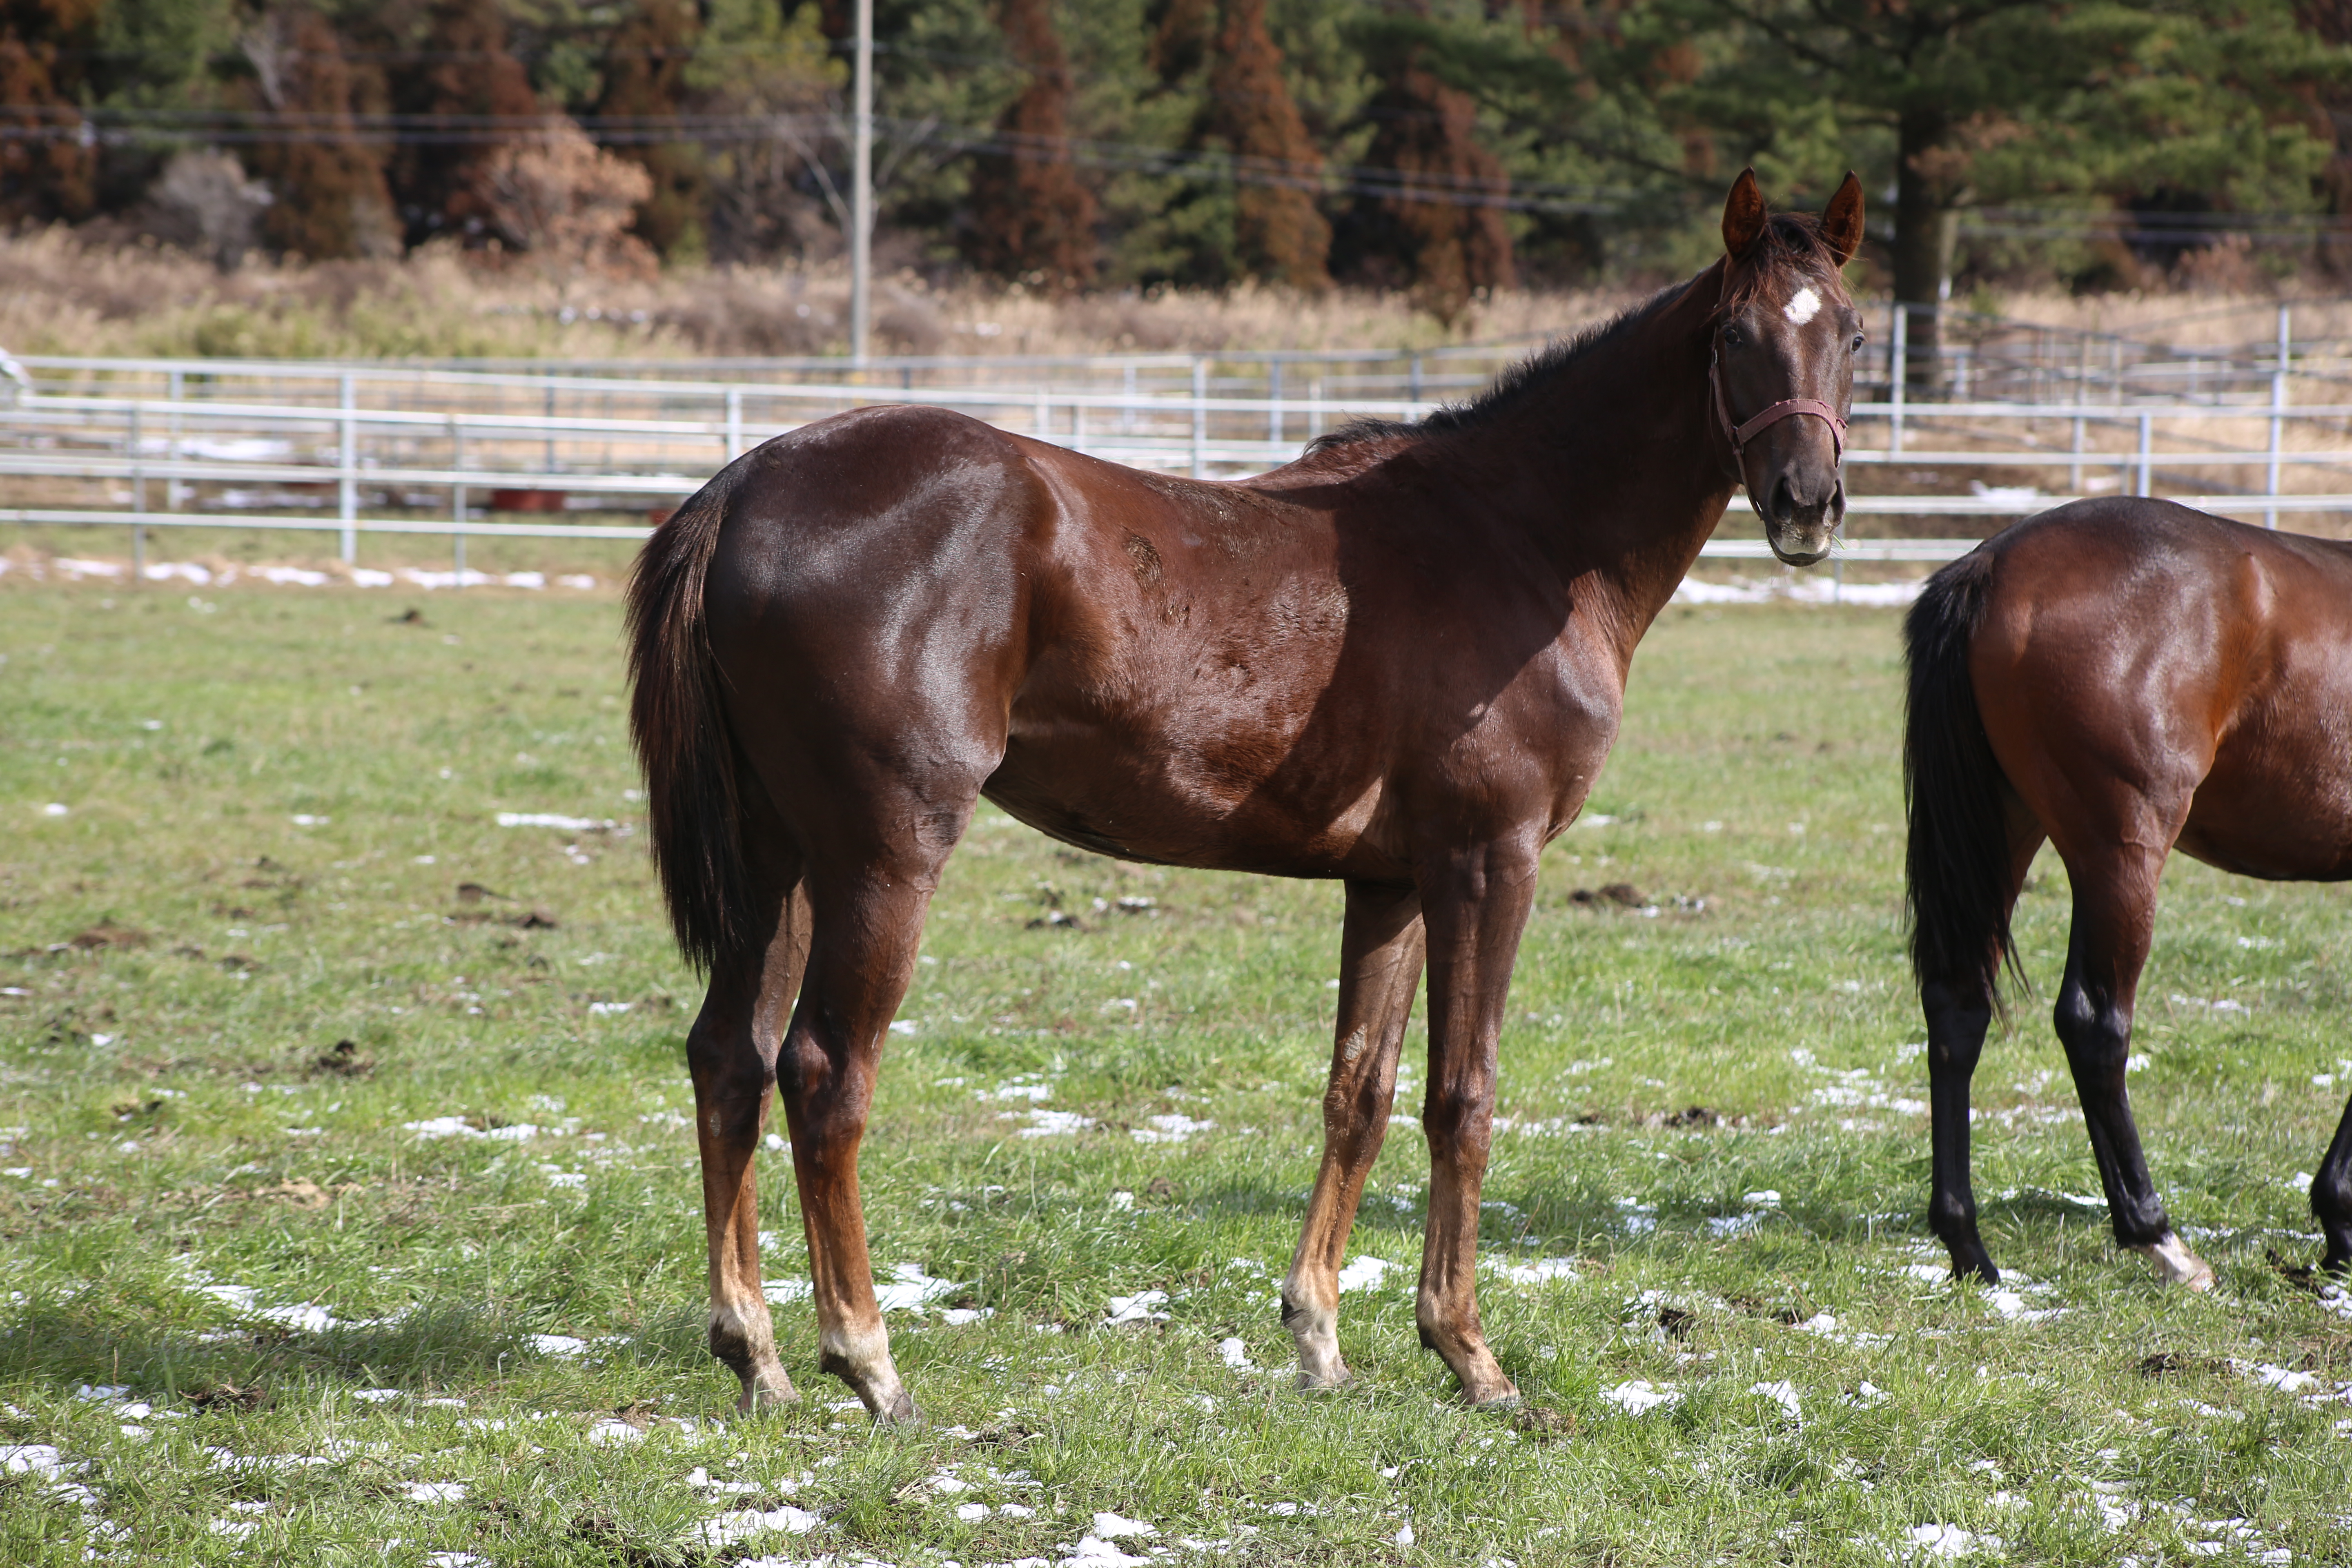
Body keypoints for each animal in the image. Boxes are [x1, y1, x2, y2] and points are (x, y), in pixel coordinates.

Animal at [630, 172, 1872, 1420]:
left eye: (1853, 334)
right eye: (1732, 334)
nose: (1806, 503)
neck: (1520, 535)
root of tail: (744, 488)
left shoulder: (1392, 884)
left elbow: (1360, 1093)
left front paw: (1320, 1338)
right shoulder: (1490, 862)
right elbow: (1461, 1098)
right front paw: (1469, 1354)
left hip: (779, 856)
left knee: (730, 1057)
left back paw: (757, 1354)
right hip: (882, 855)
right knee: (824, 1072)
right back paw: (869, 1362)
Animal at [1900, 501, 2352, 1288]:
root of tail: (1993, 563)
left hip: (2007, 827)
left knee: (1958, 1006)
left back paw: (1968, 1247)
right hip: (2123, 853)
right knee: (2094, 1023)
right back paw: (2156, 1235)